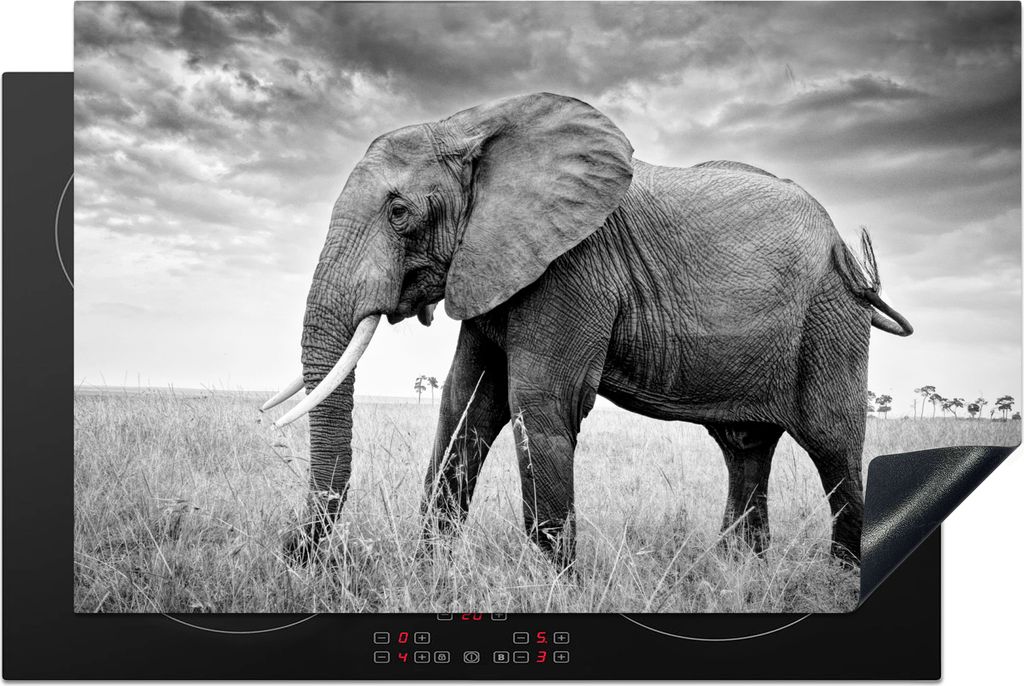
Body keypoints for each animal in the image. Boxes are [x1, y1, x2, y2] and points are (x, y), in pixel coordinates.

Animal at [262, 92, 912, 569]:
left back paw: (839, 575)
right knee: (744, 447)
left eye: (398, 213)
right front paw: (431, 570)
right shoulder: (491, 261)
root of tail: (848, 254)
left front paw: (555, 584)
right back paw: (740, 568)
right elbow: (465, 405)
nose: (299, 555)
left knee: (832, 444)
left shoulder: (571, 267)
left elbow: (539, 402)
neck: (469, 127)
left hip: (829, 319)